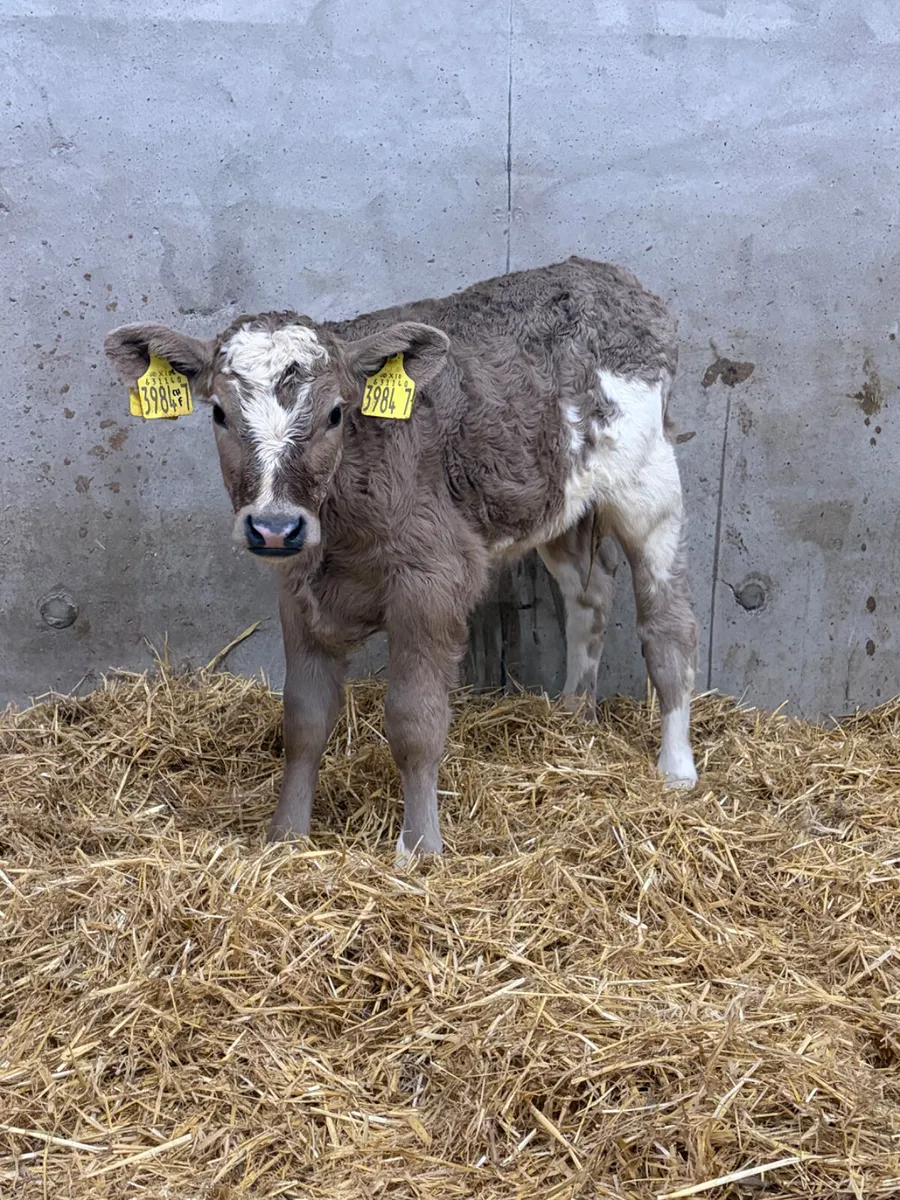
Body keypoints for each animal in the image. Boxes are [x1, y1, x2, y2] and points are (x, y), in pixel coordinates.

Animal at [105, 257, 698, 858]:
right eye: (220, 414)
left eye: (336, 414)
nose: (275, 526)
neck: (339, 524)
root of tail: (606, 275)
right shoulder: (297, 590)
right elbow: (304, 720)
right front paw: (286, 836)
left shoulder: (434, 578)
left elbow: (415, 721)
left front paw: (419, 848)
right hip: (560, 503)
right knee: (588, 598)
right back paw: (577, 716)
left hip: (649, 485)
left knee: (668, 621)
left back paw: (676, 769)